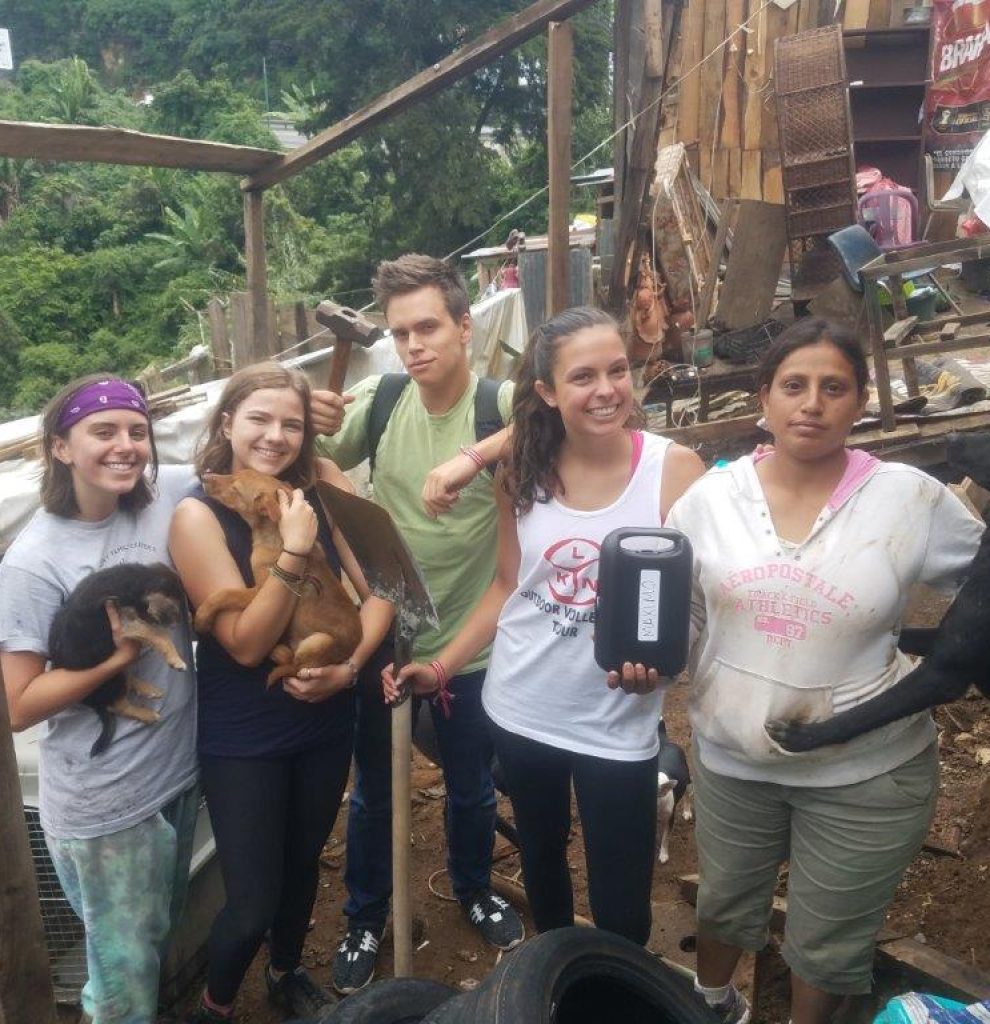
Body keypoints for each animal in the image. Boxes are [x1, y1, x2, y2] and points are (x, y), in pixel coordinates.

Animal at [49, 565, 187, 757]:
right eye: (178, 605)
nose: (178, 622)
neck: (133, 581)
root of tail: (93, 702)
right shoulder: (127, 621)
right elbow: (159, 635)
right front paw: (176, 659)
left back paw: (148, 689)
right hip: (110, 677)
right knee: (118, 706)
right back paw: (147, 714)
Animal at [191, 471, 362, 688]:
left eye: (235, 489)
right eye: (232, 473)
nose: (205, 476)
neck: (274, 534)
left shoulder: (257, 592)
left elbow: (223, 594)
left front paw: (202, 617)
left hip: (319, 641)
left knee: (297, 667)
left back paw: (278, 652)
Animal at [769, 432, 990, 753]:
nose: (951, 436)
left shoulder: (945, 671)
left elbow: (865, 713)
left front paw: (805, 737)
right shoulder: (941, 637)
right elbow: (902, 636)